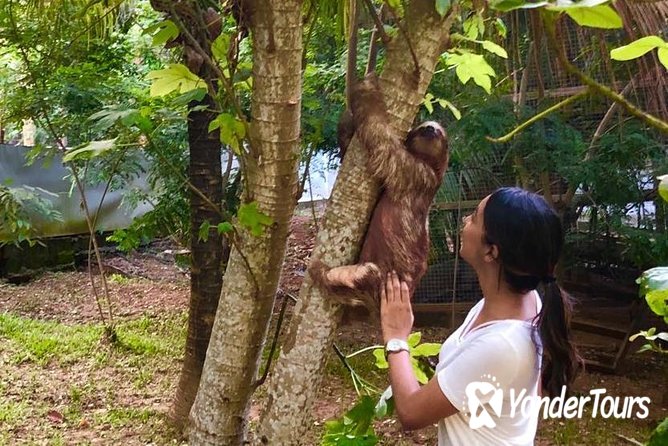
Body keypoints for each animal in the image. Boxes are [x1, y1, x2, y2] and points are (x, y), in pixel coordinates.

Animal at [310, 74, 449, 317]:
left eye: (438, 133)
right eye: (423, 127)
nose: (430, 129)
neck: (431, 168)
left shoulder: (414, 173)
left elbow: (381, 142)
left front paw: (367, 92)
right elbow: (349, 151)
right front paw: (348, 117)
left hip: (383, 285)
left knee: (365, 273)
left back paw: (319, 270)